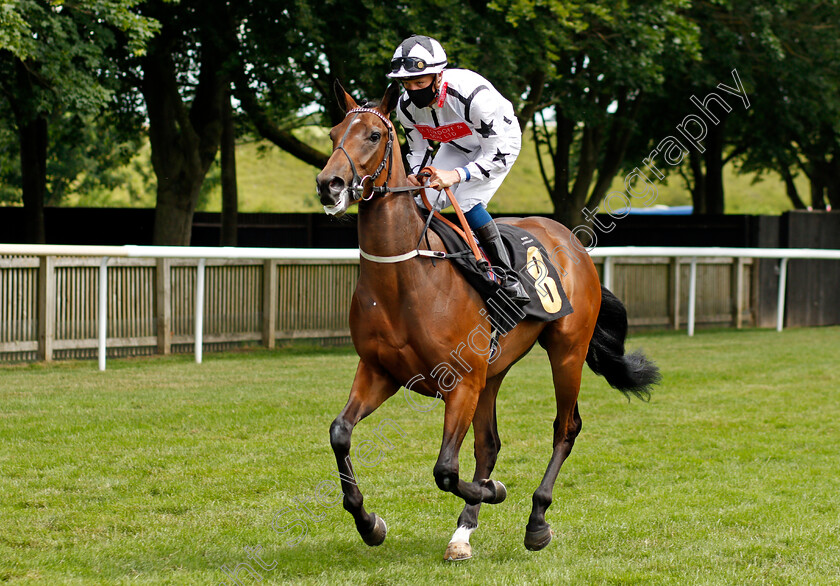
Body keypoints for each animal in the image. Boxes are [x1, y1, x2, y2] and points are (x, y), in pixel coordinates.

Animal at [312, 81, 660, 556]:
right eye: (332, 134)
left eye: (374, 135)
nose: (329, 185)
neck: (405, 277)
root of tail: (571, 241)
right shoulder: (380, 371)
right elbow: (340, 433)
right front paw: (369, 523)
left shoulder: (460, 382)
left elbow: (444, 469)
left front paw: (495, 490)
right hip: (493, 371)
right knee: (488, 444)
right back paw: (463, 533)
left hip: (566, 350)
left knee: (565, 427)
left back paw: (536, 519)